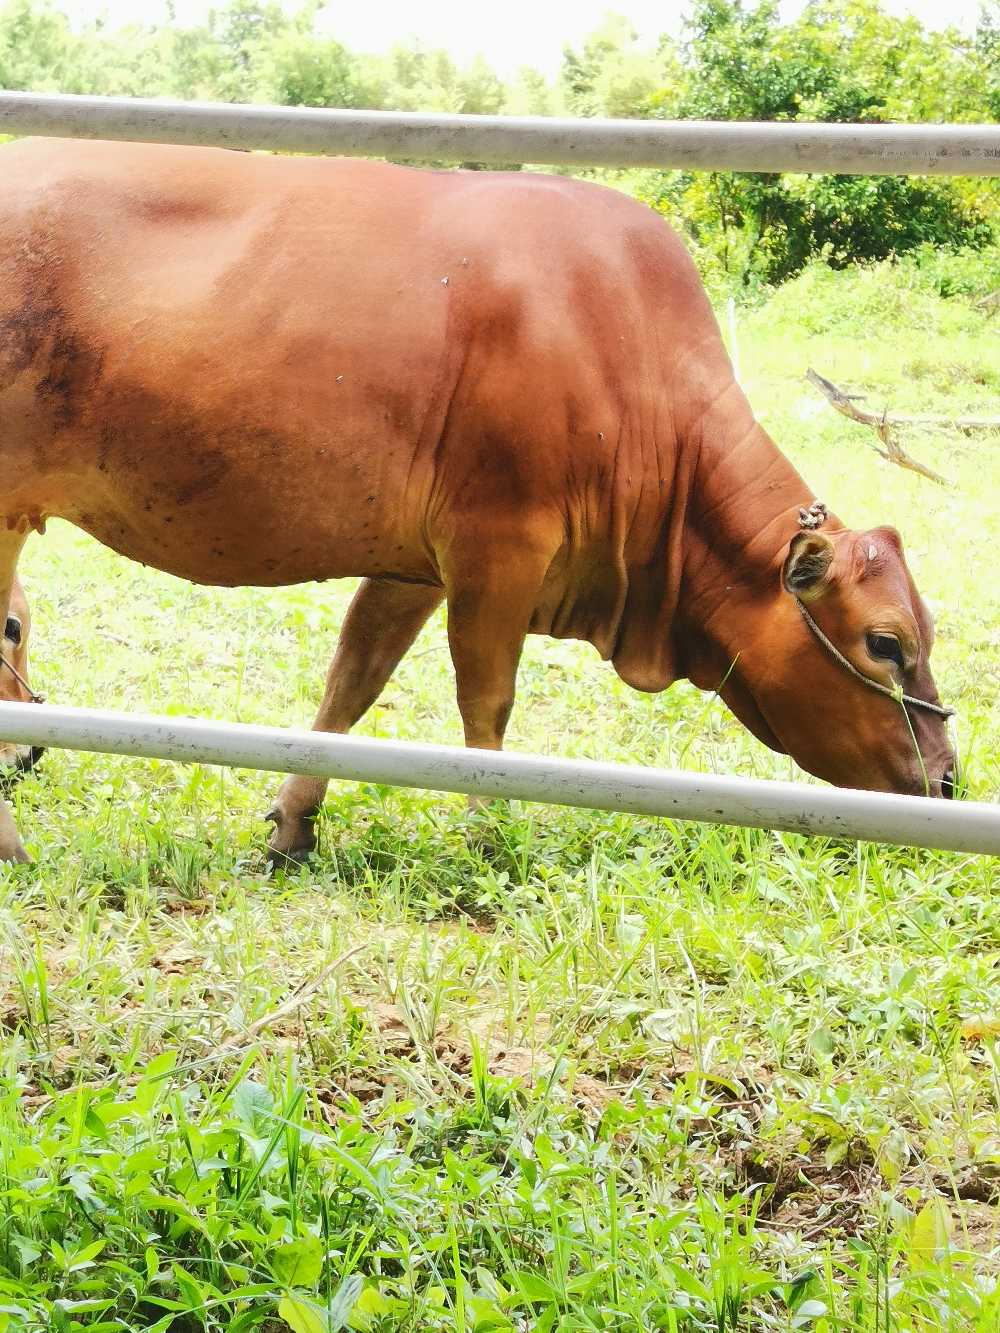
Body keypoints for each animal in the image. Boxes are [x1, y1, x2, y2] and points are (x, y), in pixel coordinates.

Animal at [0, 137, 954, 863]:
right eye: (886, 644)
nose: (947, 778)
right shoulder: (500, 545)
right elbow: (486, 701)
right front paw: (489, 831)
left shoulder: (415, 563)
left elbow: (353, 679)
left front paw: (294, 822)